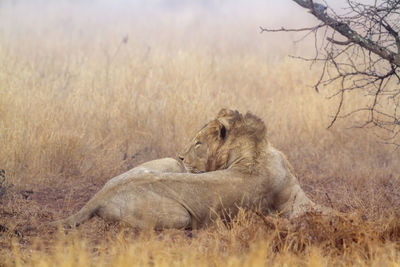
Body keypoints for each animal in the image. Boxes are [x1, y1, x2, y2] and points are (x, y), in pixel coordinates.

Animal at [52, 109, 328, 230]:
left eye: (198, 142)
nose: (181, 156)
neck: (253, 153)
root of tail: (101, 194)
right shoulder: (296, 202)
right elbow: (324, 211)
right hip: (180, 215)